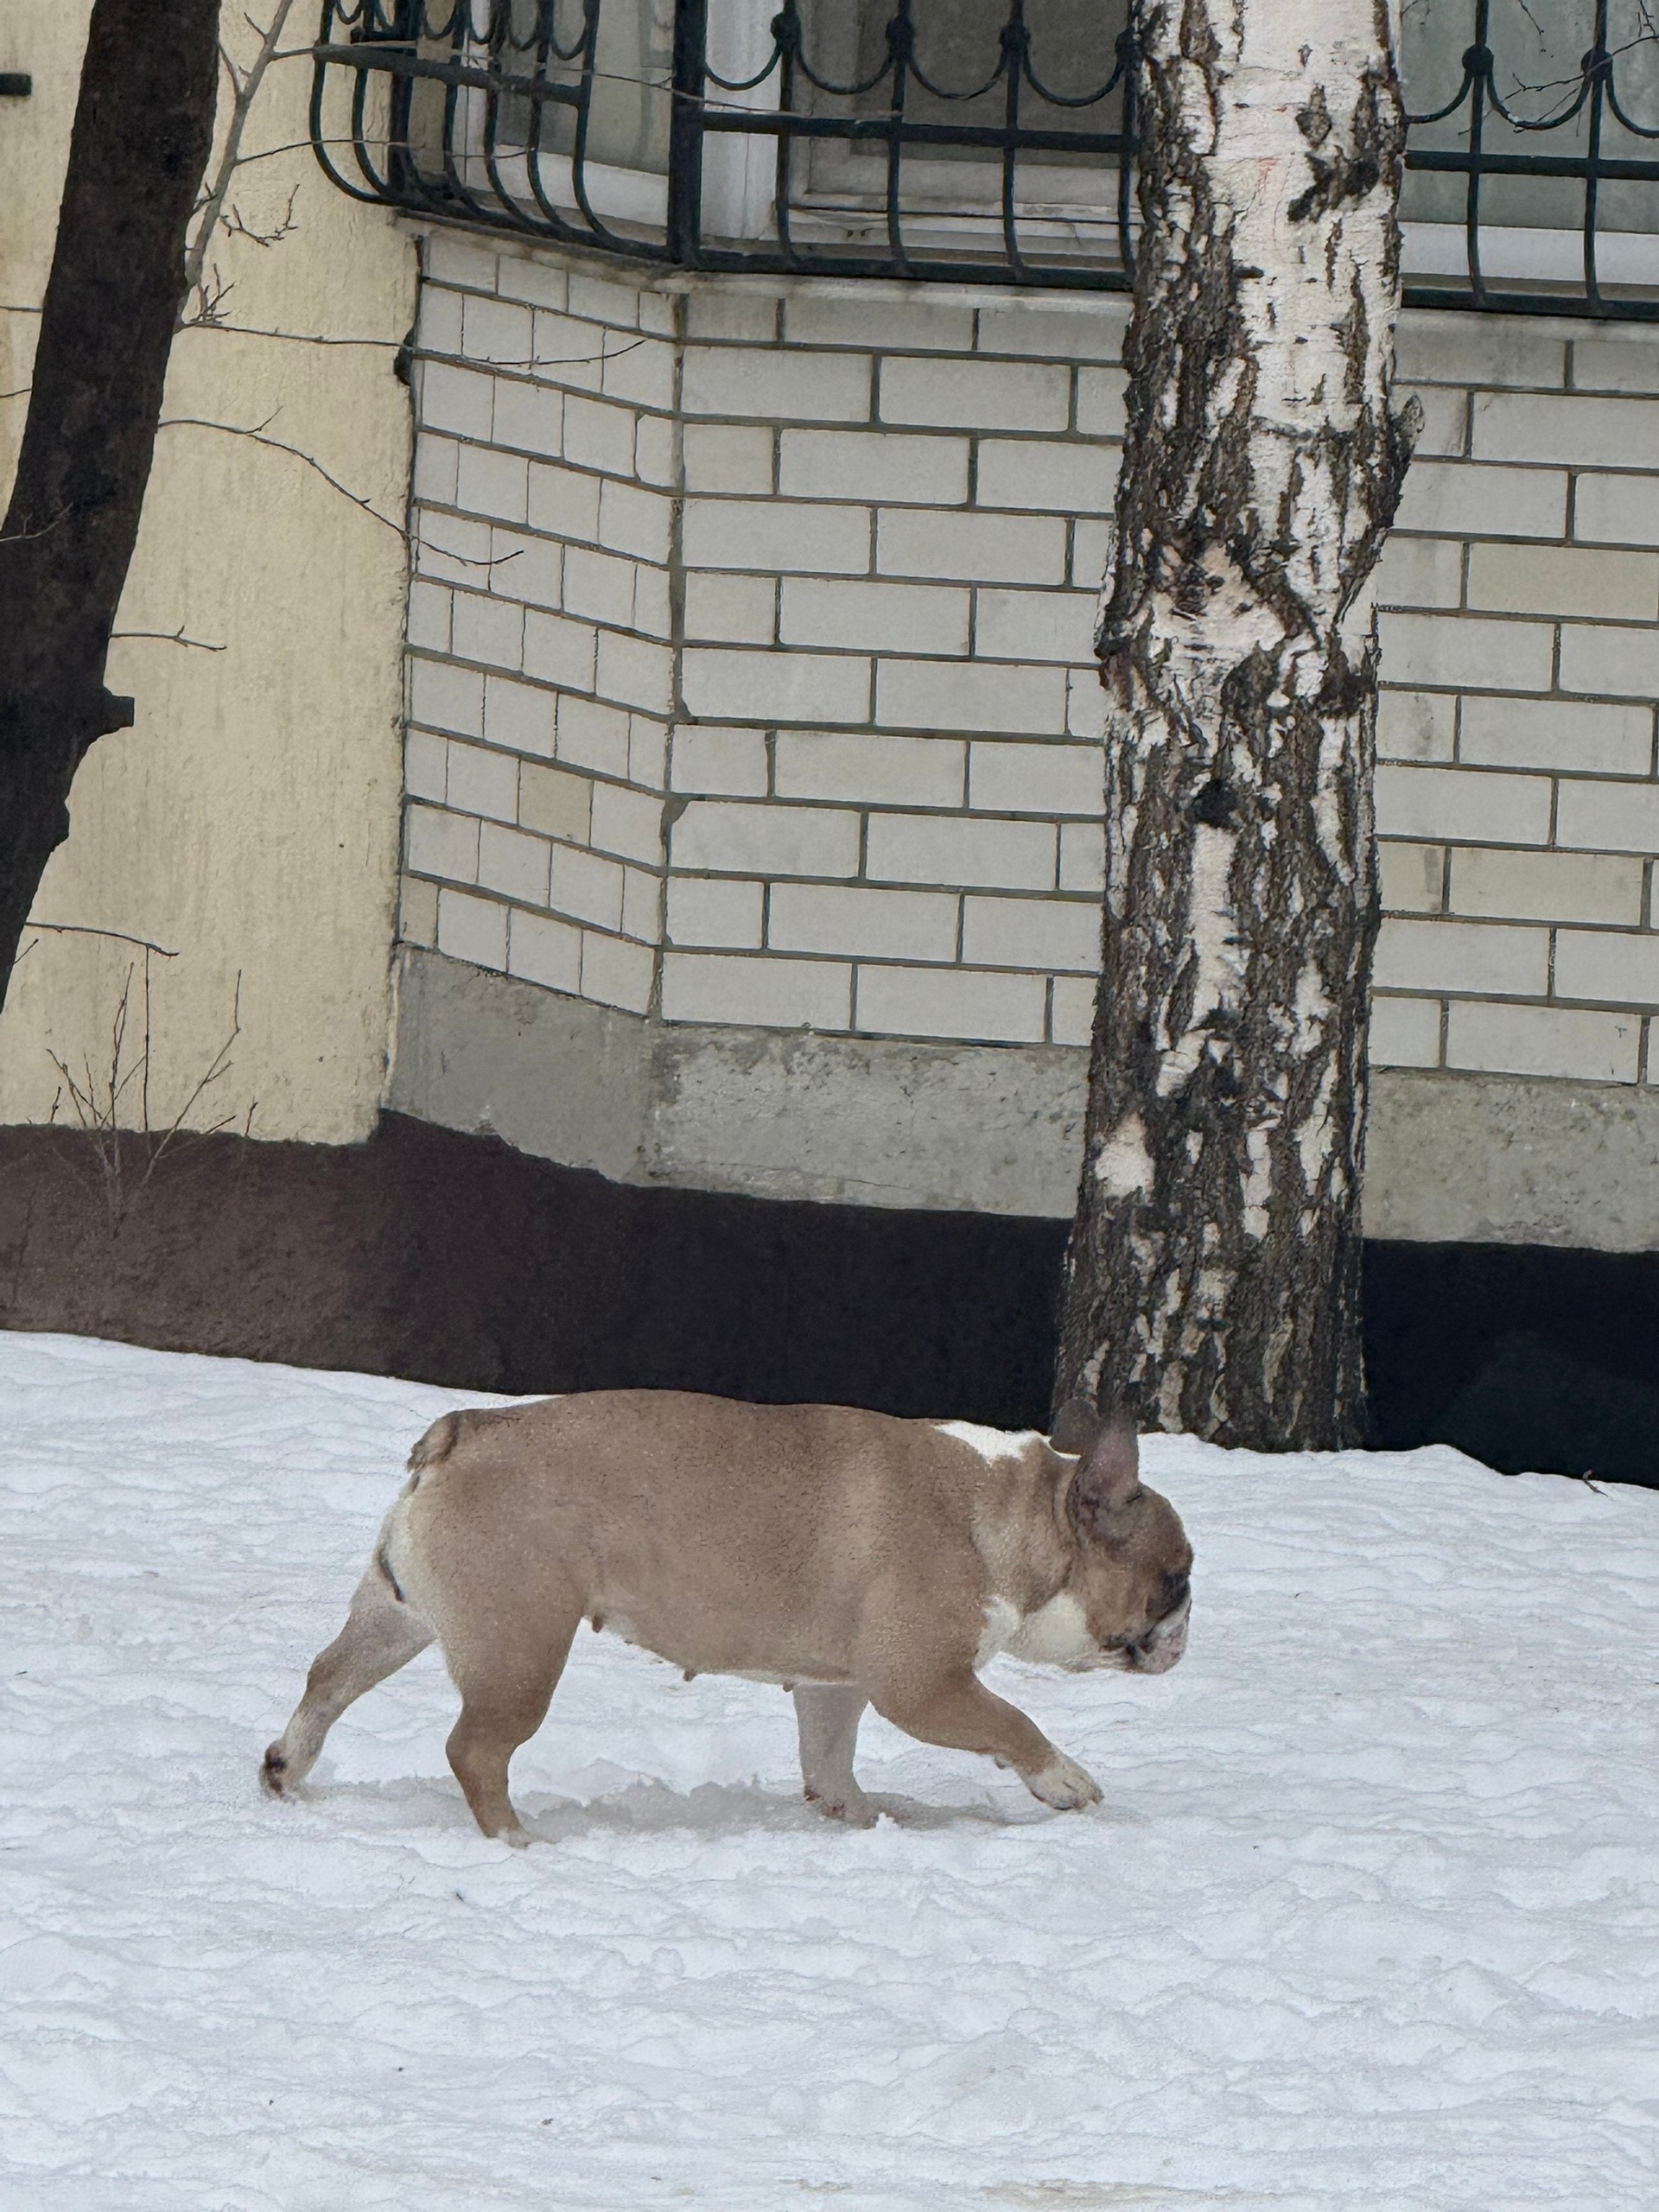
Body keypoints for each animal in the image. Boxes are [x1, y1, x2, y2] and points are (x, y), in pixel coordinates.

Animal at [262, 1391, 1193, 1841]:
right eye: (1174, 1579)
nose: (1187, 1628)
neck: (1007, 1510)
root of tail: (464, 1433)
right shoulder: (924, 1685)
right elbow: (1013, 1722)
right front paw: (1065, 1780)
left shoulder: (835, 1686)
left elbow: (829, 1764)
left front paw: (867, 1818)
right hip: (521, 1648)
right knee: (475, 1750)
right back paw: (520, 1842)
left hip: (397, 1616)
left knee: (326, 1679)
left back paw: (287, 1771)